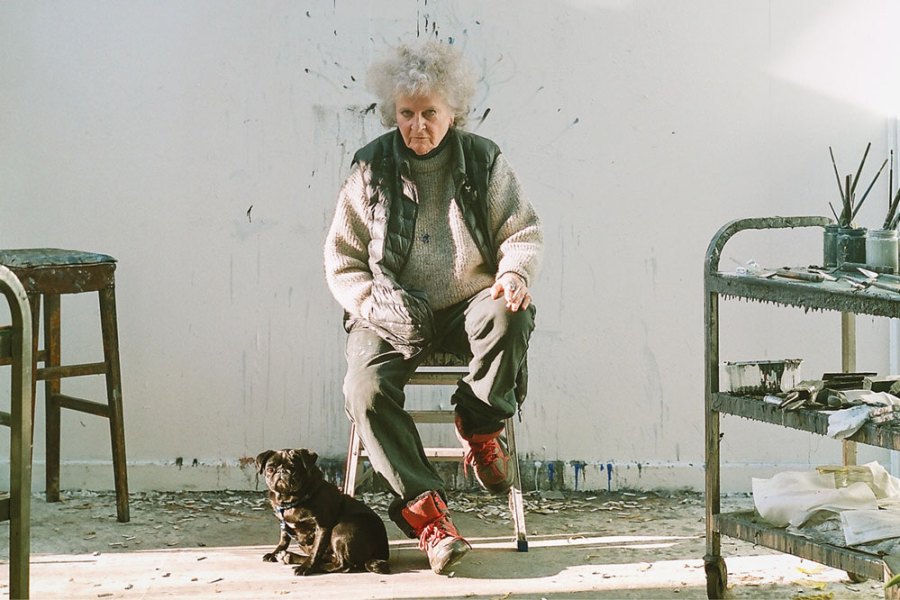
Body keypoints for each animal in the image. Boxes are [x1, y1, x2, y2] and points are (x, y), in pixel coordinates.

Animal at [256, 448, 390, 576]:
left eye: (293, 469)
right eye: (270, 469)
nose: (281, 471)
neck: (291, 500)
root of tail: (381, 553)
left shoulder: (322, 527)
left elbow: (316, 550)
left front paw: (306, 567)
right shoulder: (283, 525)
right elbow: (283, 541)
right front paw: (274, 553)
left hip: (340, 529)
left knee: (342, 565)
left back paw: (311, 566)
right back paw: (289, 556)